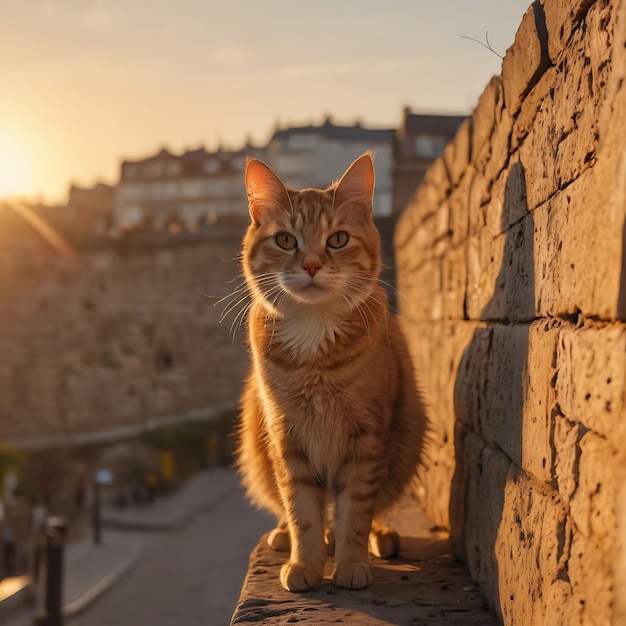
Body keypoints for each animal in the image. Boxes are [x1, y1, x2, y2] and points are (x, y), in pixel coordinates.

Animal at [236, 151, 426, 588]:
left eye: (337, 239)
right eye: (285, 240)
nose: (310, 266)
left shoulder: (367, 437)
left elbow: (354, 511)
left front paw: (350, 562)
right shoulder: (287, 438)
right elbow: (302, 511)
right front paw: (305, 563)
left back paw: (379, 536)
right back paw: (284, 536)